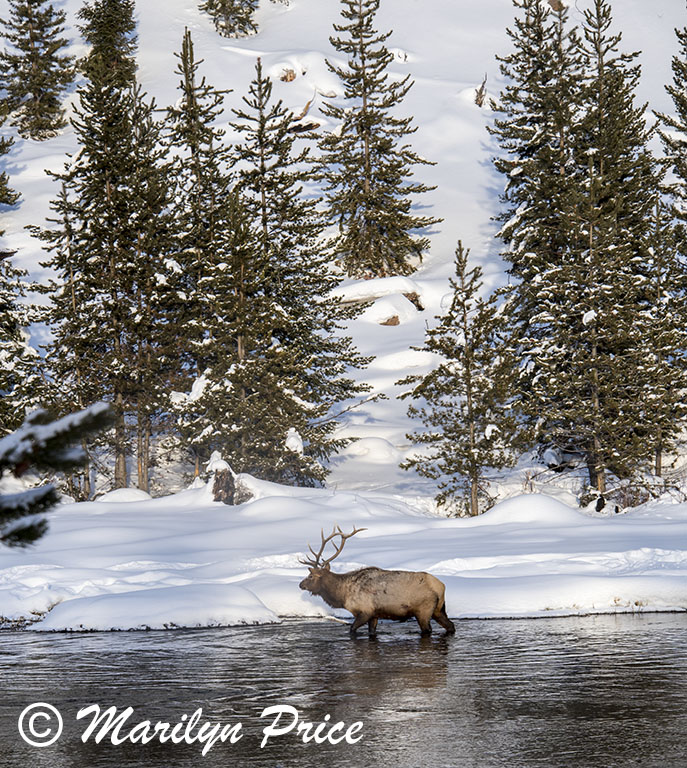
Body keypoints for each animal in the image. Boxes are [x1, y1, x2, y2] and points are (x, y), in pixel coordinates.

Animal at [298, 526, 456, 637]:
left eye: (310, 576)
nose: (300, 584)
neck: (342, 595)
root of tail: (441, 587)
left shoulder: (365, 611)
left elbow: (352, 629)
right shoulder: (374, 615)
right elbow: (371, 632)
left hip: (423, 610)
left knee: (428, 630)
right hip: (439, 609)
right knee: (451, 626)